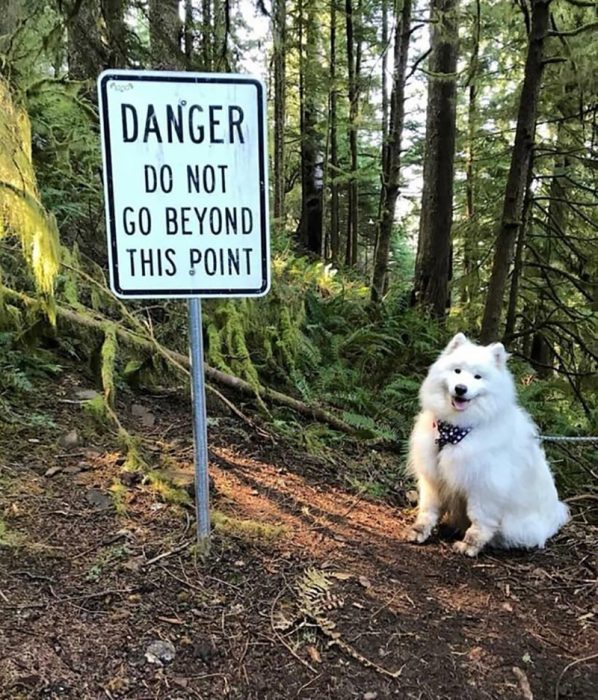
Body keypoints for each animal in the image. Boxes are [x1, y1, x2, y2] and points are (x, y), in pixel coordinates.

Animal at [408, 334, 572, 556]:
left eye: (478, 377)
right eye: (457, 371)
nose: (461, 388)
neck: (455, 430)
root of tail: (554, 515)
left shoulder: (485, 487)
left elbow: (480, 522)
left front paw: (469, 545)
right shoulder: (433, 477)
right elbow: (428, 509)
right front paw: (420, 530)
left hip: (515, 526)